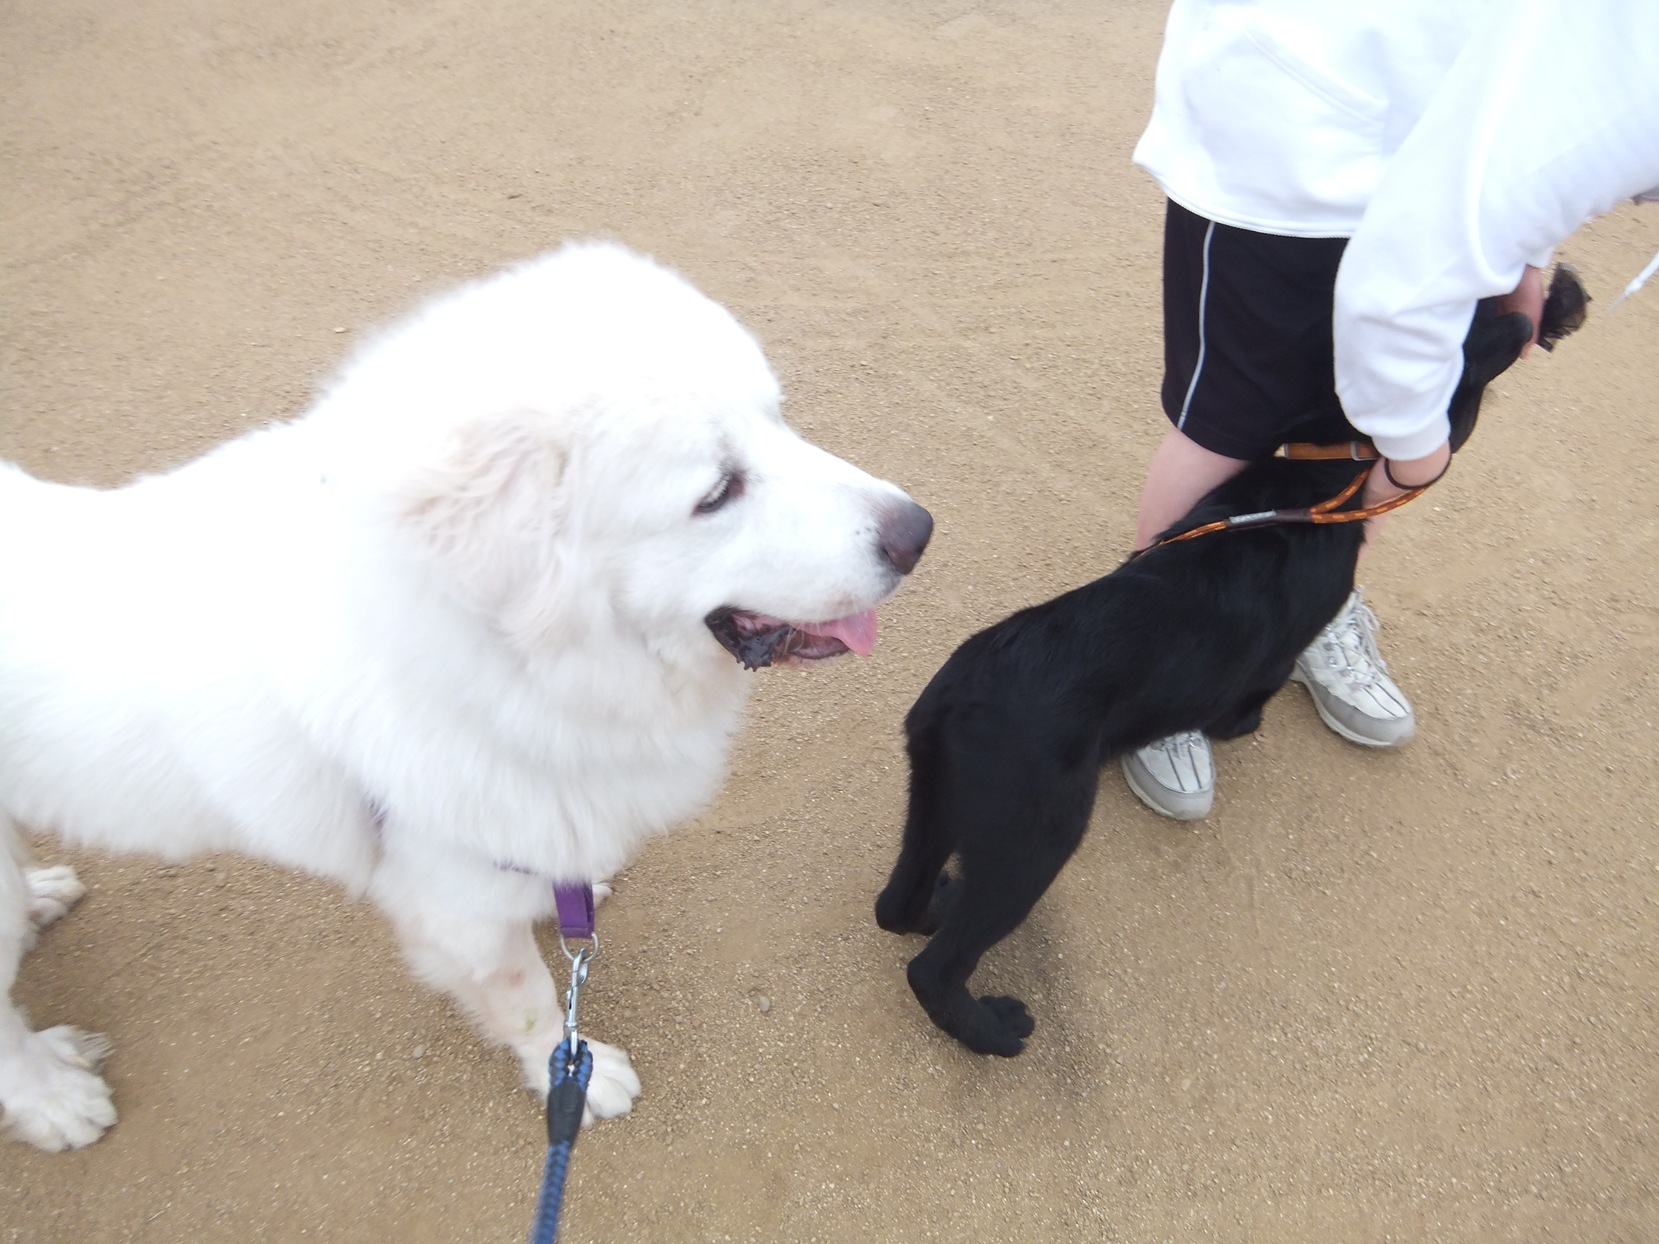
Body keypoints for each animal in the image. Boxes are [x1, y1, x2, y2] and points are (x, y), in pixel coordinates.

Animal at [0, 242, 933, 1150]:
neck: (510, 670)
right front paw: (576, 1074)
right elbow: (528, 1003)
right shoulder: (457, 909)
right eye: (716, 491)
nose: (917, 531)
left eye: (777, 418)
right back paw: (55, 1097)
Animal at [875, 272, 1585, 1057]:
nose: (1520, 308)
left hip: (935, 805)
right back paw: (992, 1030)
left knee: (895, 904)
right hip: (1030, 839)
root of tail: (955, 698)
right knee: (935, 968)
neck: (1312, 475)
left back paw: (936, 906)